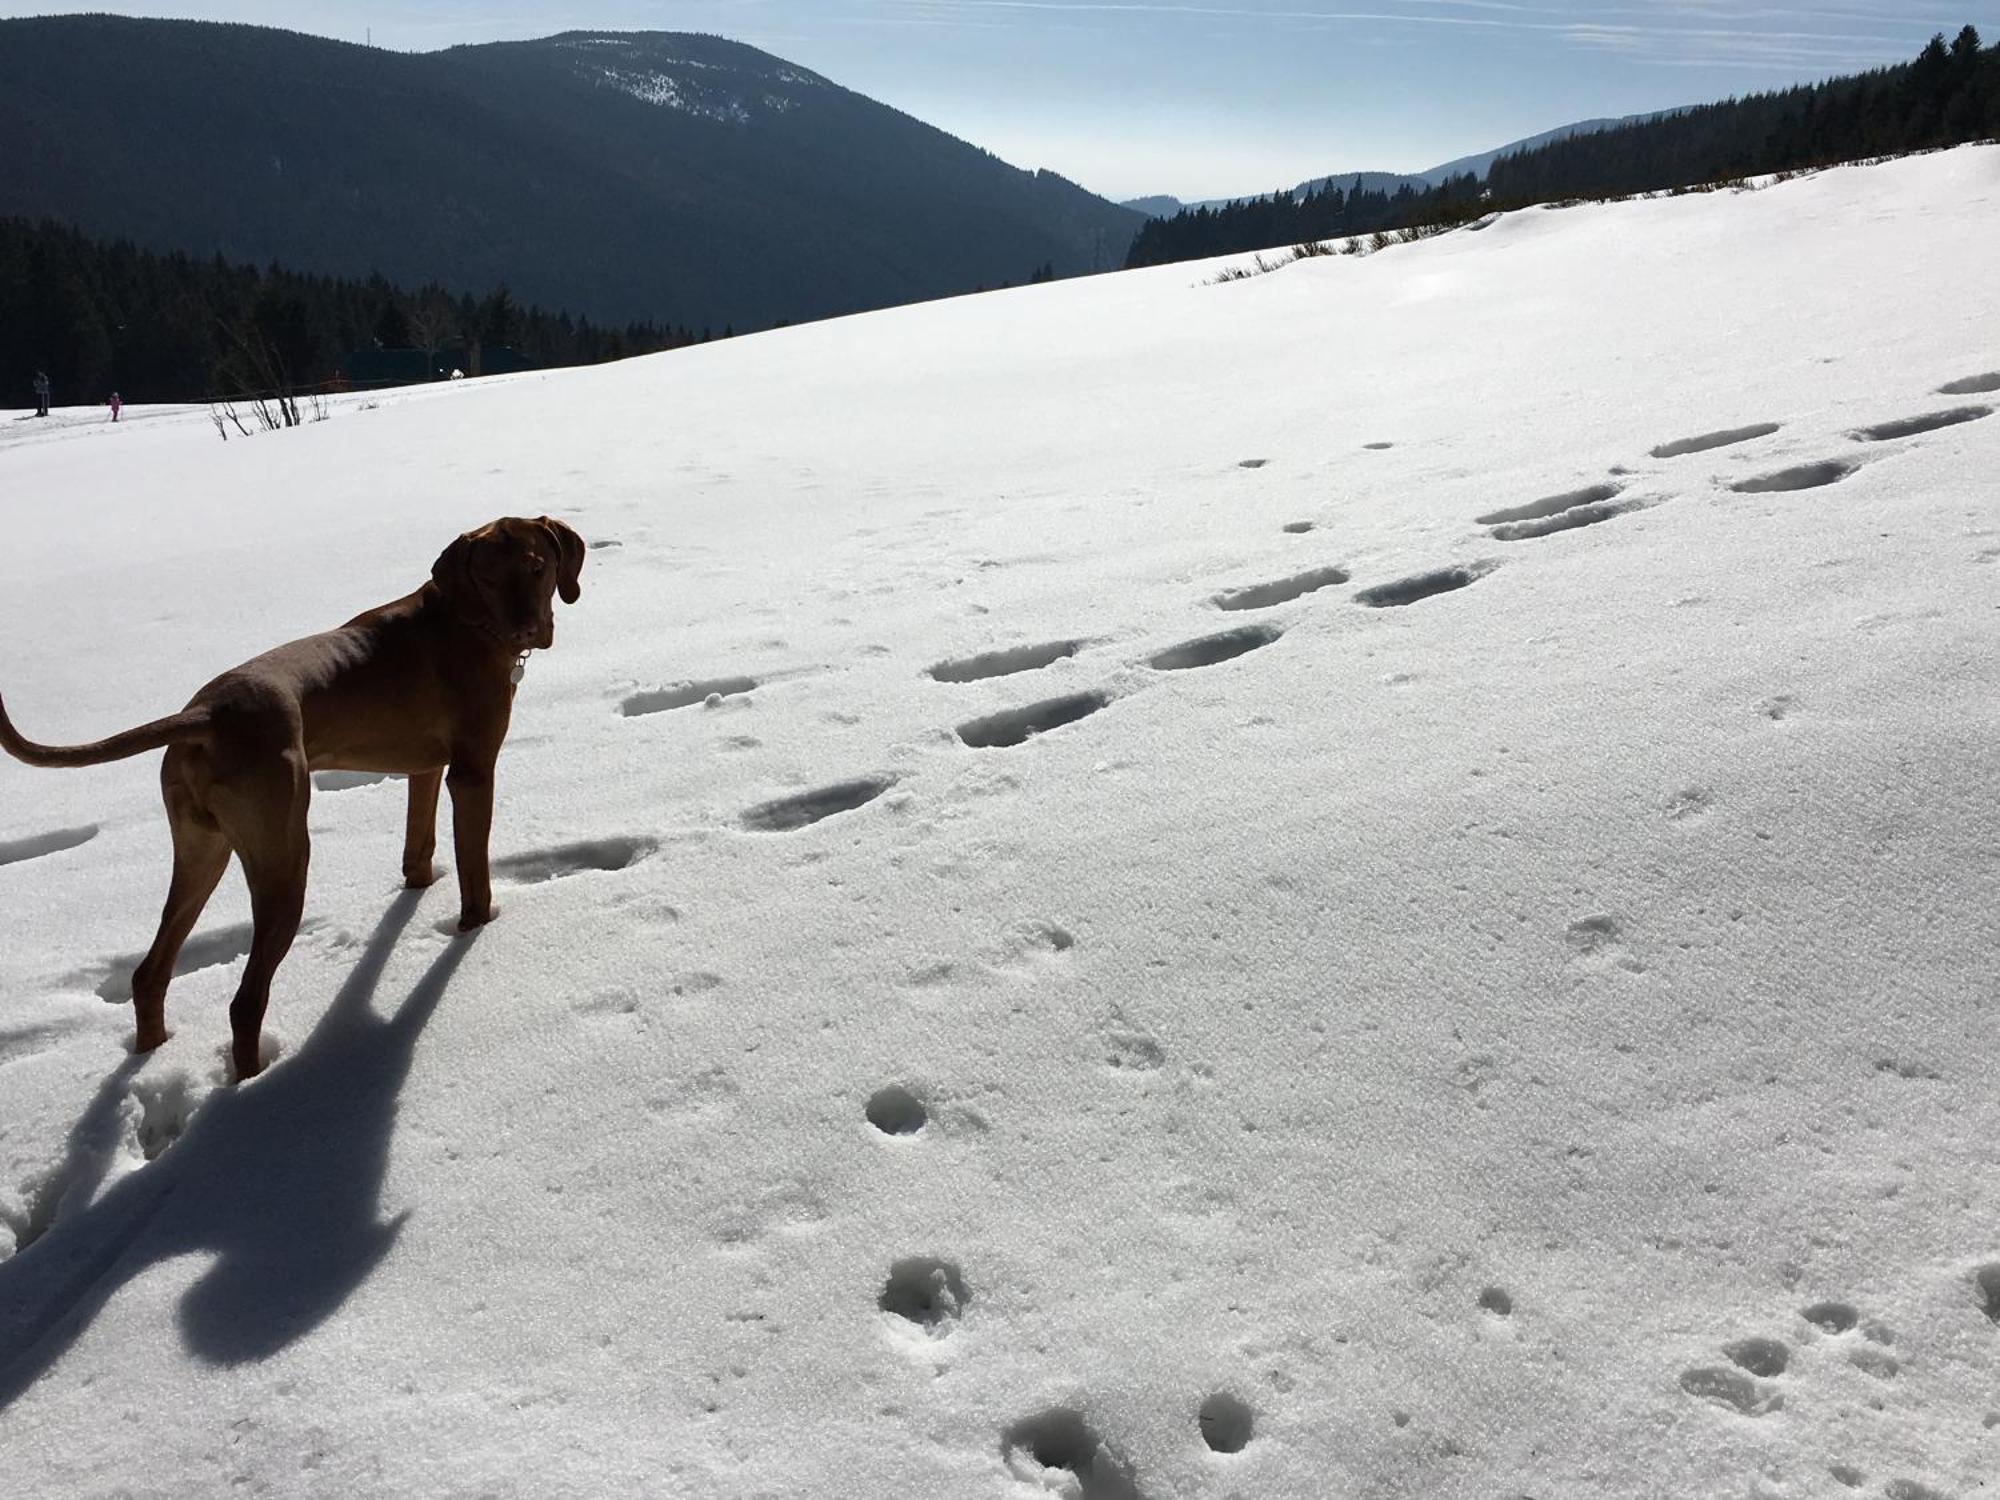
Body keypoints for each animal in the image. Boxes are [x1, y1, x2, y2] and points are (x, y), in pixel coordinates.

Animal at [0, 516, 584, 1080]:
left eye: (537, 567)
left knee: (150, 974)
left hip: (202, 849)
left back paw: (152, 1056)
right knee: (245, 1002)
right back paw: (251, 1085)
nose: (525, 628)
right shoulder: (471, 772)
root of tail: (207, 715)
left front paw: (418, 890)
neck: (466, 619)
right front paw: (474, 929)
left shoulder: (424, 768)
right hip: (284, 857)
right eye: (487, 577)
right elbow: (474, 875)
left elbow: (417, 850)